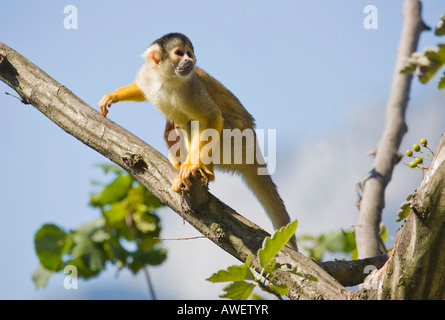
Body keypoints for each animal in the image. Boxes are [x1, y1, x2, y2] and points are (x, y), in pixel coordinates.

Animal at [99, 33, 296, 250]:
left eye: (189, 54)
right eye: (179, 53)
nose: (189, 61)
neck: (165, 78)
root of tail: (253, 150)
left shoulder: (191, 87)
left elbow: (211, 117)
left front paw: (193, 166)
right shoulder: (147, 74)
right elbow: (142, 89)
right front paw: (114, 95)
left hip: (236, 140)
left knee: (193, 122)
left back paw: (203, 170)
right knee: (178, 124)